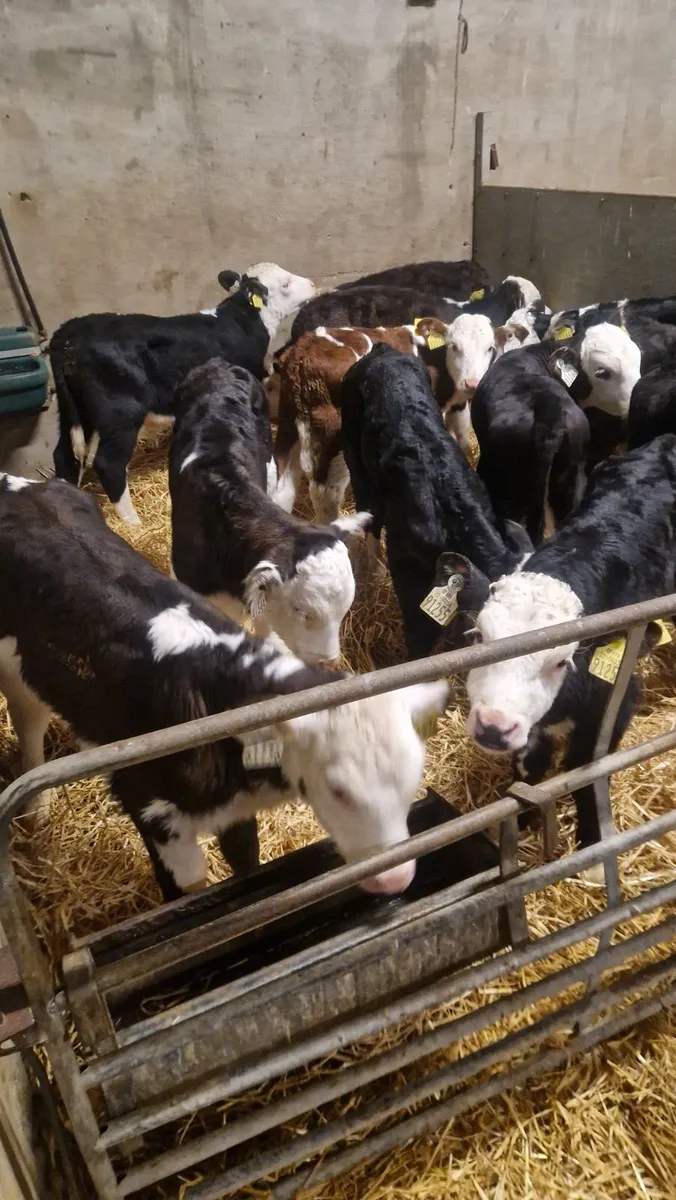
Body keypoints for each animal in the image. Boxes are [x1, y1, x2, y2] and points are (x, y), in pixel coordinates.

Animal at [0, 472, 448, 900]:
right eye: (338, 791)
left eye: (414, 777)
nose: (395, 879)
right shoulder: (146, 803)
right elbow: (187, 890)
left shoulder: (235, 809)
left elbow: (246, 860)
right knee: (29, 722)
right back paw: (37, 807)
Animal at [51, 263, 315, 525]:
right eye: (285, 284)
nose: (313, 284)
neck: (243, 323)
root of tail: (67, 334)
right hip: (120, 414)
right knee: (109, 464)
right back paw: (134, 522)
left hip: (76, 412)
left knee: (64, 455)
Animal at [438, 434, 676, 854]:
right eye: (480, 637)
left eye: (562, 661)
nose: (493, 728)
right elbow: (528, 769)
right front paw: (523, 821)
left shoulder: (619, 701)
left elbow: (586, 773)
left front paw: (593, 843)